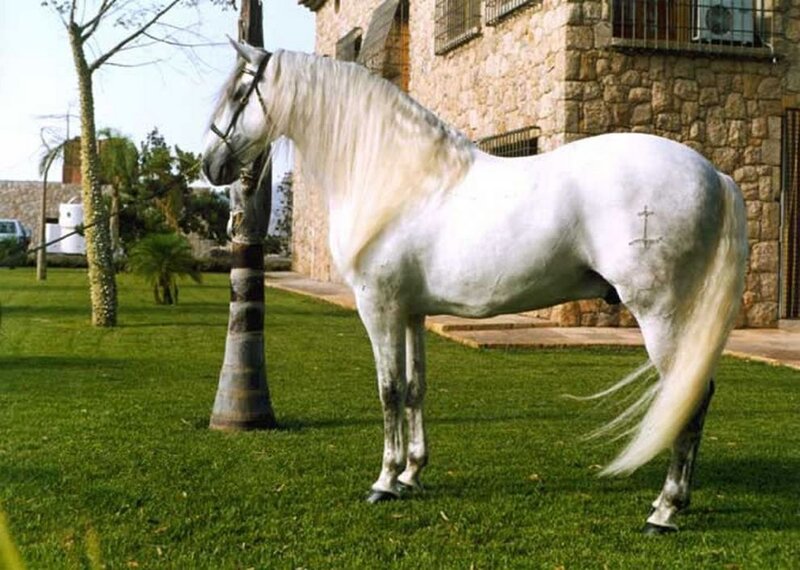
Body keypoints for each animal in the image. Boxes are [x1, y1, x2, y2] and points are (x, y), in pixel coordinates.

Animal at [202, 40, 748, 534]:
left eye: (239, 93)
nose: (210, 165)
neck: (397, 177)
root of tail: (716, 174)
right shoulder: (411, 311)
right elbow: (416, 388)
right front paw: (412, 474)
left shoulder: (378, 307)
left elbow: (388, 390)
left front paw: (384, 482)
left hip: (660, 312)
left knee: (691, 394)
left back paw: (665, 510)